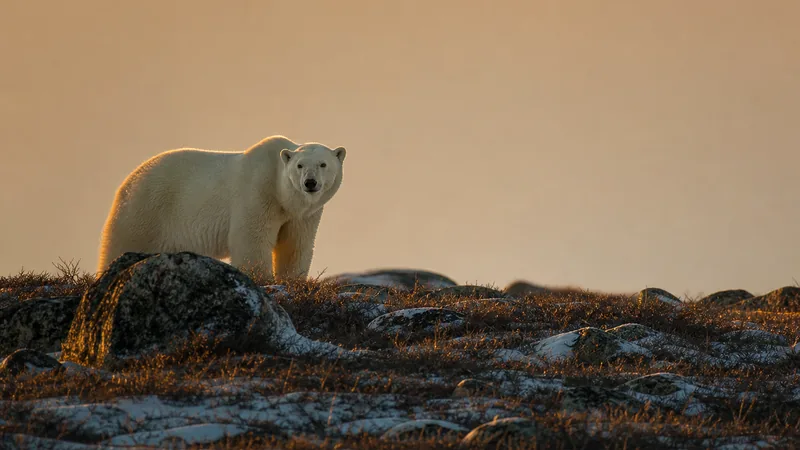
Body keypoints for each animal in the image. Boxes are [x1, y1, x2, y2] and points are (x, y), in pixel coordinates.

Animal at [97, 135, 346, 281]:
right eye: (300, 165)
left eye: (323, 164)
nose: (310, 183)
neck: (281, 193)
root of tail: (128, 181)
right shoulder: (258, 193)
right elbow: (251, 240)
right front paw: (262, 281)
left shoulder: (302, 215)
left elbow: (295, 245)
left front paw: (292, 282)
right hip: (147, 210)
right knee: (123, 243)